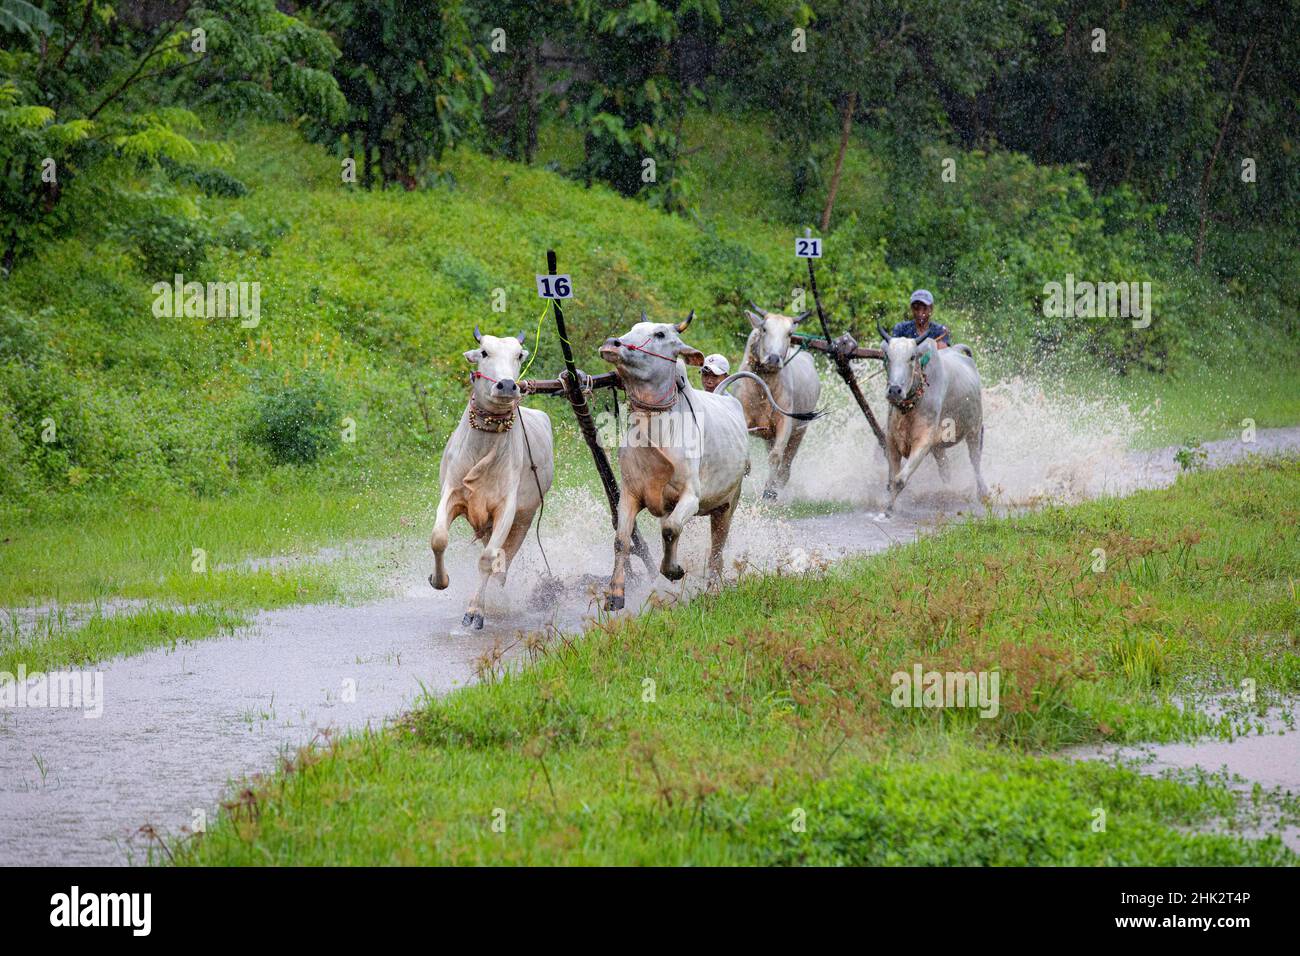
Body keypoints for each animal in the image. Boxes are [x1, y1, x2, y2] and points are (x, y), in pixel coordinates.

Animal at [428, 328, 554, 628]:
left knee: (502, 561)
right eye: (484, 352)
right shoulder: (451, 494)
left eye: (518, 355)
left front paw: (475, 611)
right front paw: (439, 580)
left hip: (524, 518)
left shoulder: (506, 509)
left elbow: (488, 559)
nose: (507, 386)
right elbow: (438, 539)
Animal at [736, 303, 823, 499]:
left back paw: (779, 484)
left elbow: (776, 456)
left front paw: (769, 490)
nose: (774, 358)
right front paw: (746, 468)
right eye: (764, 329)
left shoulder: (786, 423)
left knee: (786, 462)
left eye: (789, 333)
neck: (763, 388)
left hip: (799, 431)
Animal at [877, 324, 989, 516]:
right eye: (887, 356)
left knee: (976, 462)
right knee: (945, 469)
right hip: (939, 447)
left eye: (912, 357)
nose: (894, 390)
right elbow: (892, 480)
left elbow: (900, 480)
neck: (909, 408)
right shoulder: (891, 441)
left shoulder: (923, 441)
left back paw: (982, 493)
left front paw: (889, 511)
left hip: (974, 430)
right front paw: (890, 506)